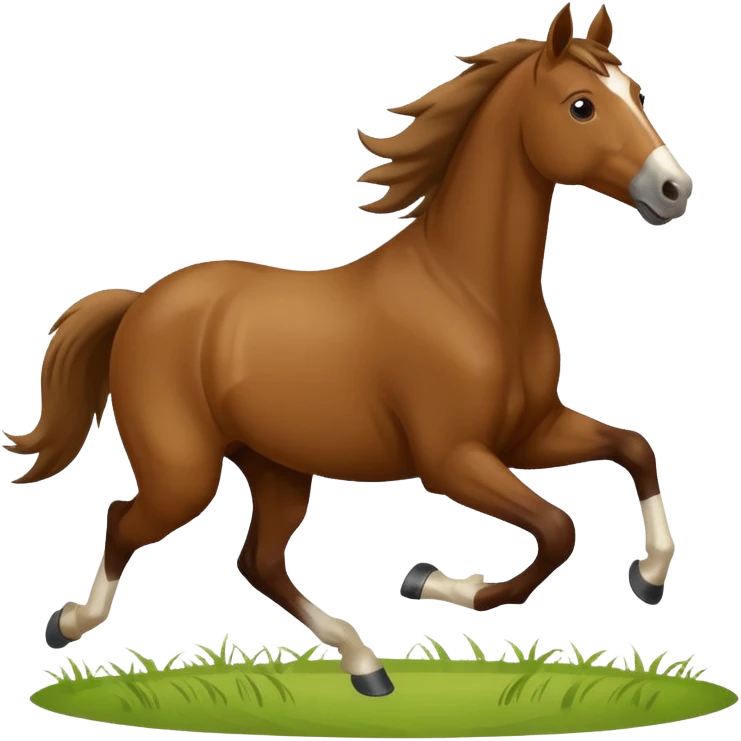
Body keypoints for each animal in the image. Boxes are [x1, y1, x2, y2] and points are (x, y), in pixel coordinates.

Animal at [4, 1, 690, 698]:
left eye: (637, 93)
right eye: (581, 106)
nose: (673, 190)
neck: (469, 293)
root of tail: (140, 304)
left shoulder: (530, 432)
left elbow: (635, 451)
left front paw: (648, 575)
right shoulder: (453, 458)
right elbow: (557, 530)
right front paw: (433, 581)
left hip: (276, 467)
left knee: (259, 561)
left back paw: (366, 665)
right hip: (184, 474)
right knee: (125, 521)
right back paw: (67, 624)